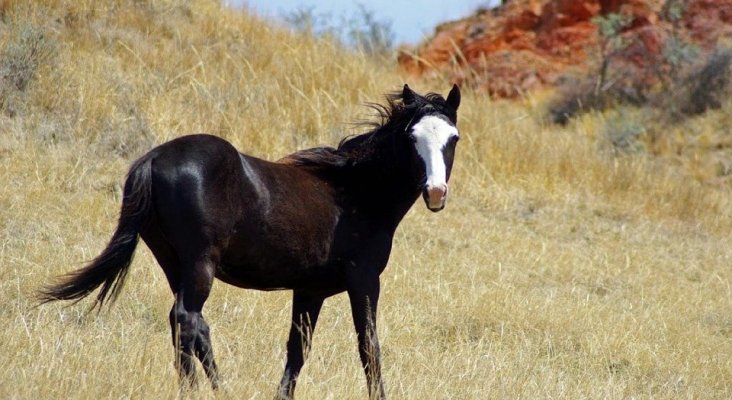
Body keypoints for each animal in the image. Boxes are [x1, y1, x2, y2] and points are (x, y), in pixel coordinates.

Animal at [37, 83, 460, 398]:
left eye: (452, 138)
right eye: (412, 136)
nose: (436, 192)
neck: (353, 192)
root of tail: (154, 159)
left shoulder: (310, 291)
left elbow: (297, 350)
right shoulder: (364, 280)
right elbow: (368, 346)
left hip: (174, 263)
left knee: (191, 325)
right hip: (200, 263)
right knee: (186, 319)